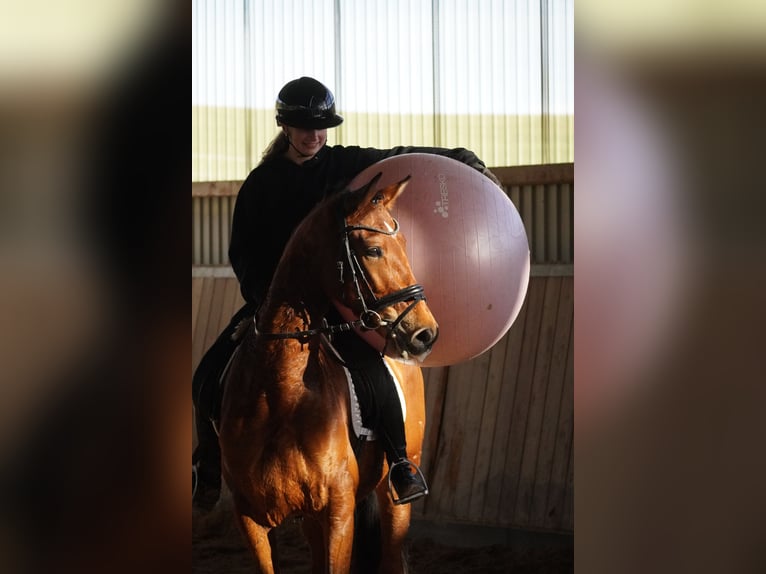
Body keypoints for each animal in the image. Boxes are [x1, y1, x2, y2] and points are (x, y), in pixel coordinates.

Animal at [219, 173, 440, 574]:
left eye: (403, 243)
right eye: (373, 250)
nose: (425, 334)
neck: (280, 390)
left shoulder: (338, 511)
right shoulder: (251, 519)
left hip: (395, 490)